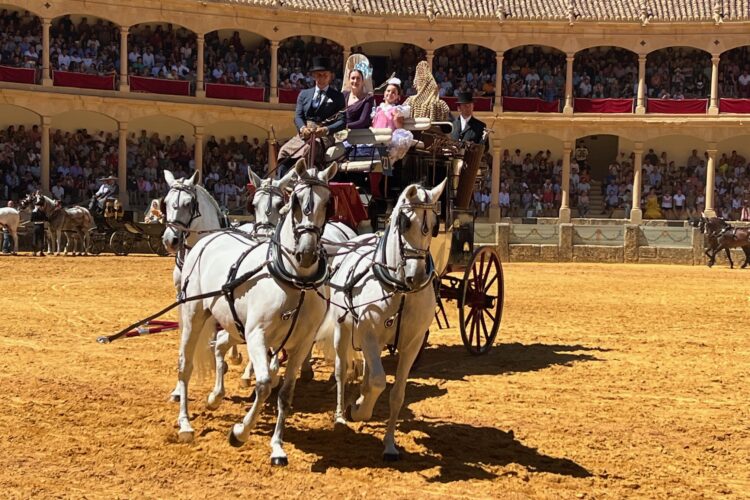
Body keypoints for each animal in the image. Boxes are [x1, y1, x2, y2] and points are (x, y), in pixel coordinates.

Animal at [173, 163, 338, 464]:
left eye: (328, 203)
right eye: (295, 202)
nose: (307, 253)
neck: (295, 281)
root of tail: (210, 237)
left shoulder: (301, 343)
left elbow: (284, 393)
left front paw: (277, 447)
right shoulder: (256, 335)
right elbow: (263, 385)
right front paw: (240, 432)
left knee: (220, 348)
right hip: (193, 315)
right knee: (185, 366)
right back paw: (185, 424)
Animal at [324, 180, 446, 460]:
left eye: (435, 225)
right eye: (406, 222)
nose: (417, 276)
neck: (401, 289)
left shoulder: (412, 345)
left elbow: (397, 394)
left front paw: (389, 444)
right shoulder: (367, 333)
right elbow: (379, 382)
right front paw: (358, 410)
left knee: (369, 372)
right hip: (343, 329)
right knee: (342, 370)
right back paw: (341, 415)